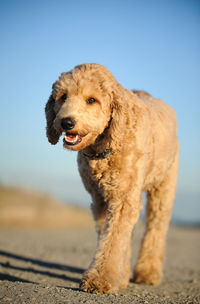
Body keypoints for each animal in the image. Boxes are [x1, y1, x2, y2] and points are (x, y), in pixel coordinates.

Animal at [44, 63, 179, 294]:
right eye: (63, 96)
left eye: (92, 100)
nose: (66, 122)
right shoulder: (101, 199)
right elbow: (110, 238)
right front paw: (116, 277)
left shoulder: (124, 198)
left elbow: (113, 239)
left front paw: (100, 279)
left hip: (164, 185)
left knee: (156, 228)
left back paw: (148, 273)